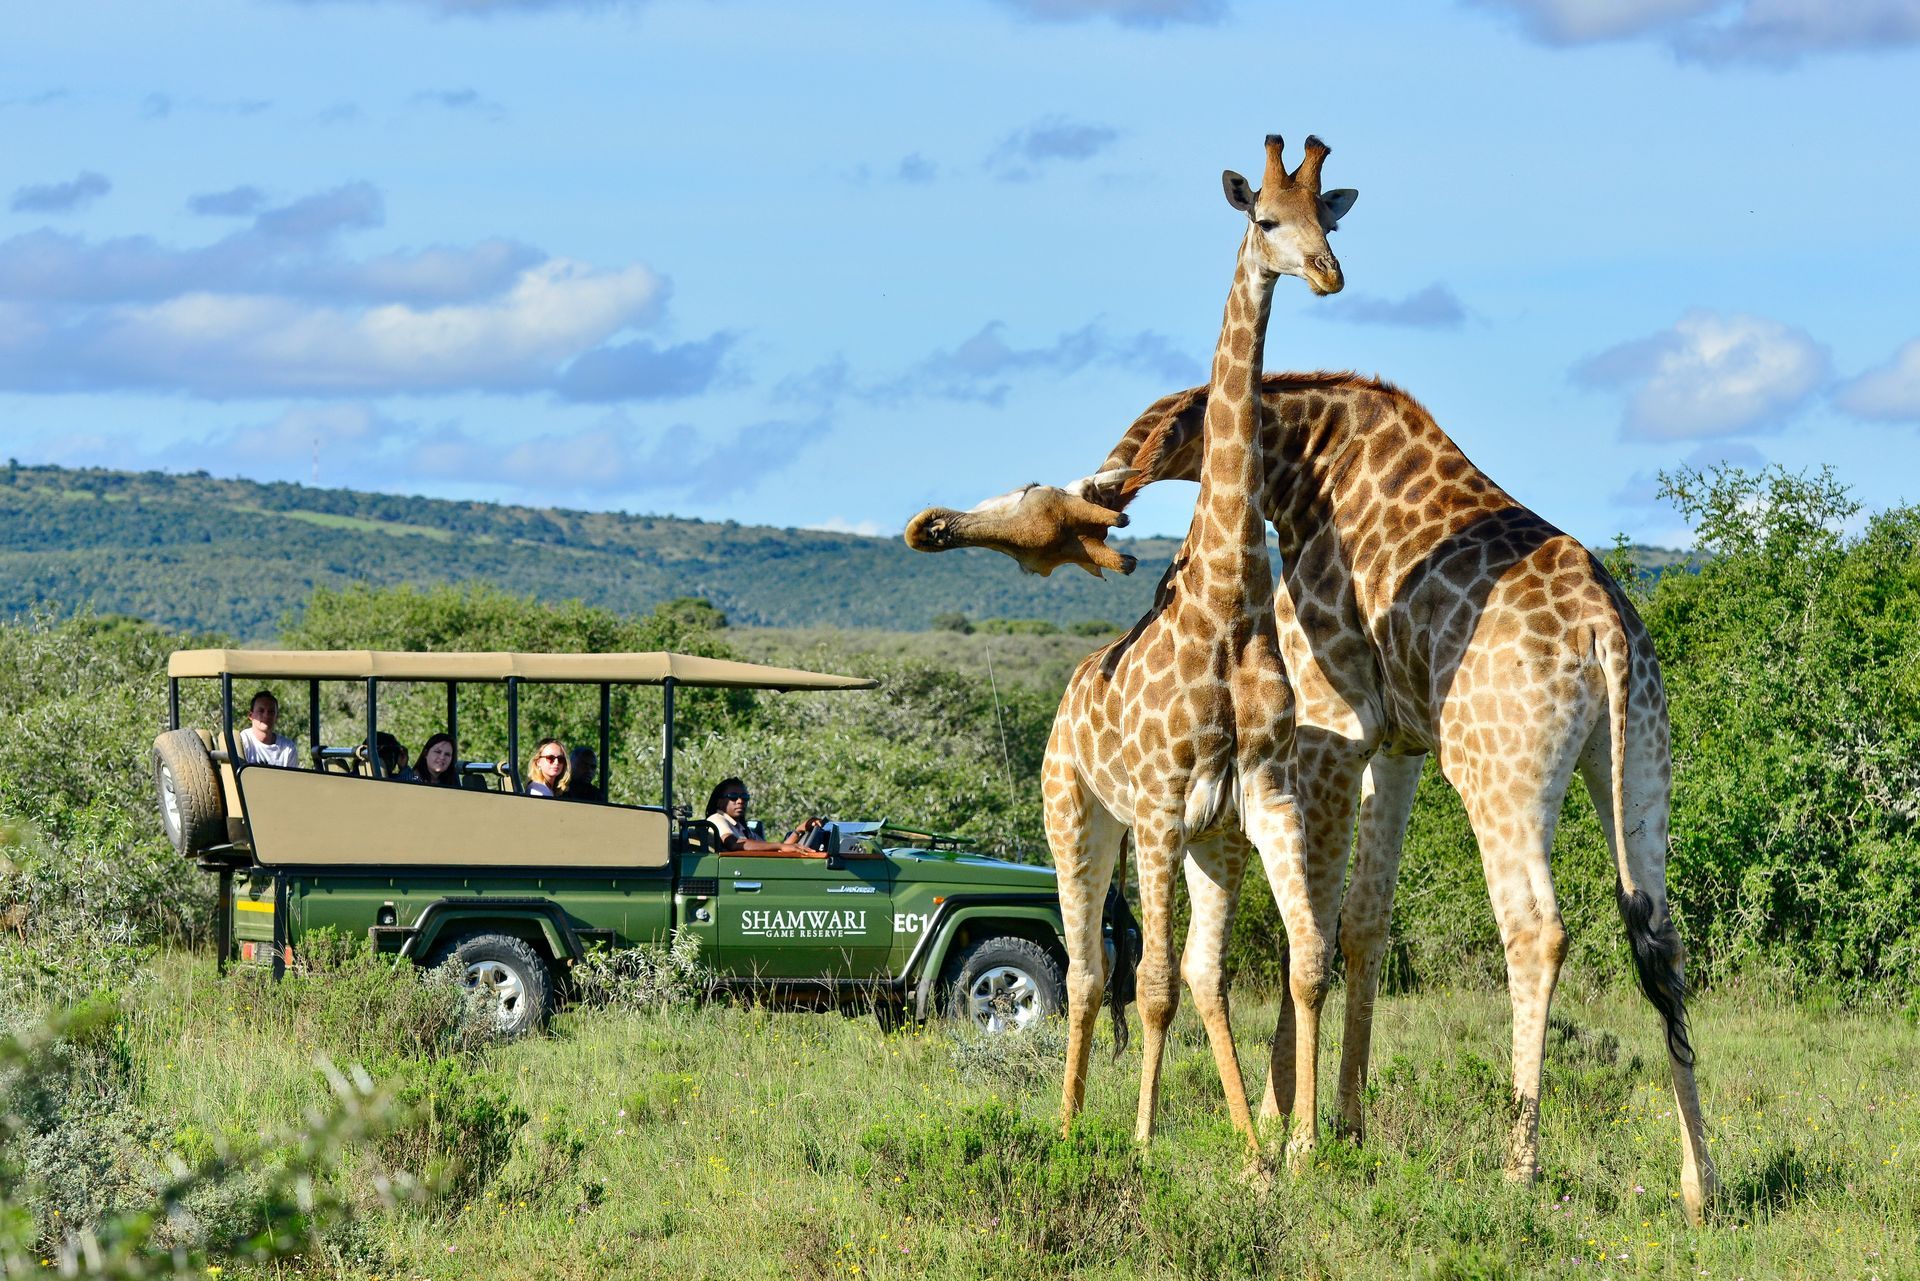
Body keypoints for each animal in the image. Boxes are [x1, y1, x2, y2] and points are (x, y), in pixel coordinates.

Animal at [905, 386, 1719, 1222]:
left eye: (1028, 505)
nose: (930, 527)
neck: (1307, 467)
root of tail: (1606, 631)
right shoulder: (1397, 744)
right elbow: (1361, 924)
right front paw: (1340, 1126)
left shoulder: (1333, 729)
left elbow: (1314, 935)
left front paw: (1290, 1133)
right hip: (1640, 755)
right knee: (1661, 939)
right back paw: (1701, 1182)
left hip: (1501, 771)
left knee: (1536, 930)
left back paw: (1517, 1166)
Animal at [1041, 134, 1358, 1157]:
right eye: (1265, 217)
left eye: (1329, 217)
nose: (1328, 275)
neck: (1227, 609)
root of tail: (1066, 697)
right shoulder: (1157, 807)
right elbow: (1144, 984)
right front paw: (1145, 1139)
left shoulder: (1256, 800)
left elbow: (1300, 961)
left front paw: (1289, 1148)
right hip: (1079, 816)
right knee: (1088, 973)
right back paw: (1071, 1124)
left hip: (1201, 839)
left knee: (1199, 975)